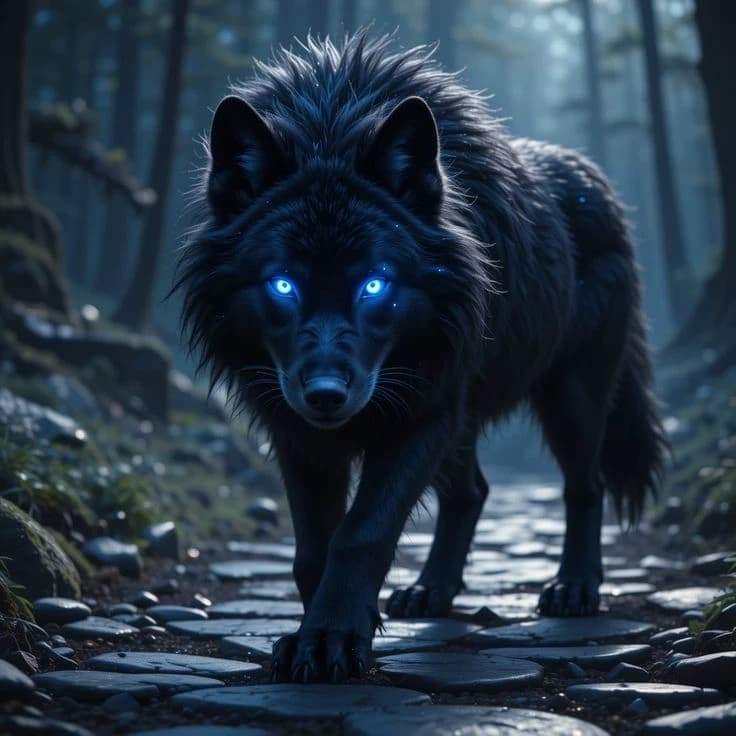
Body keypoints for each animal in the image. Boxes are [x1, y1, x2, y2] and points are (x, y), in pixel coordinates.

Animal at [175, 32, 667, 683]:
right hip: (464, 418)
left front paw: (333, 639)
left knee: (585, 486)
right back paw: (431, 591)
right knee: (472, 492)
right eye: (282, 284)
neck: (334, 116)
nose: (326, 395)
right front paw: (316, 636)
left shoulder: (421, 413)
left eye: (375, 284)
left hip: (570, 399)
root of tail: (602, 187)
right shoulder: (296, 432)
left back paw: (575, 589)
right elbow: (312, 550)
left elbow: (360, 534)